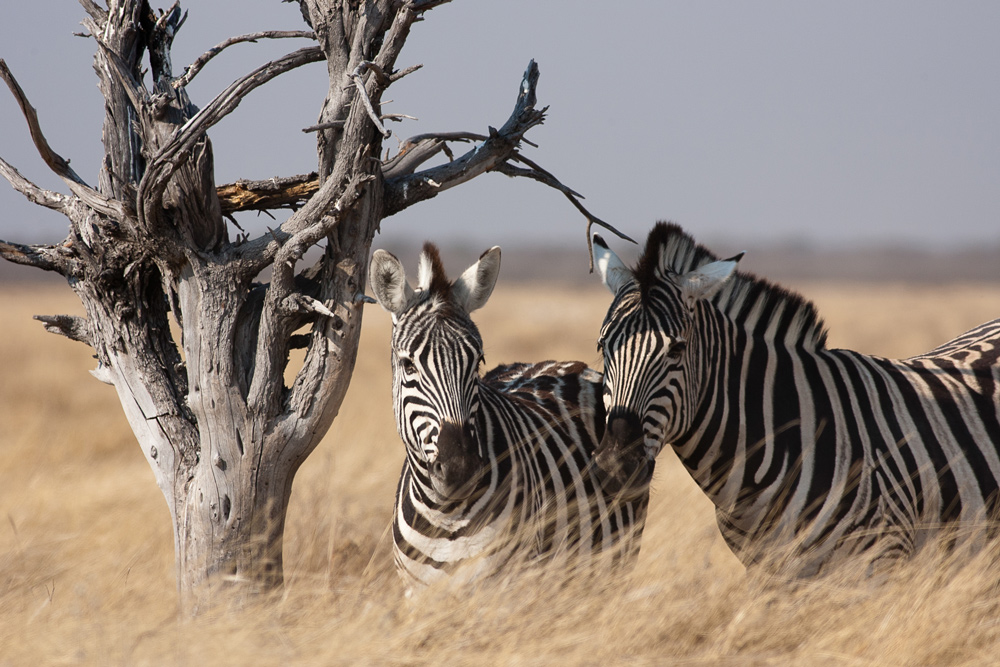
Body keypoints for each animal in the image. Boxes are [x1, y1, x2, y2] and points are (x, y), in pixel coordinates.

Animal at [370, 240, 648, 588]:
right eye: (408, 365)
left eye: (477, 362)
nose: (460, 470)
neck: (445, 514)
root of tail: (559, 362)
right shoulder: (416, 591)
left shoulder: (503, 585)